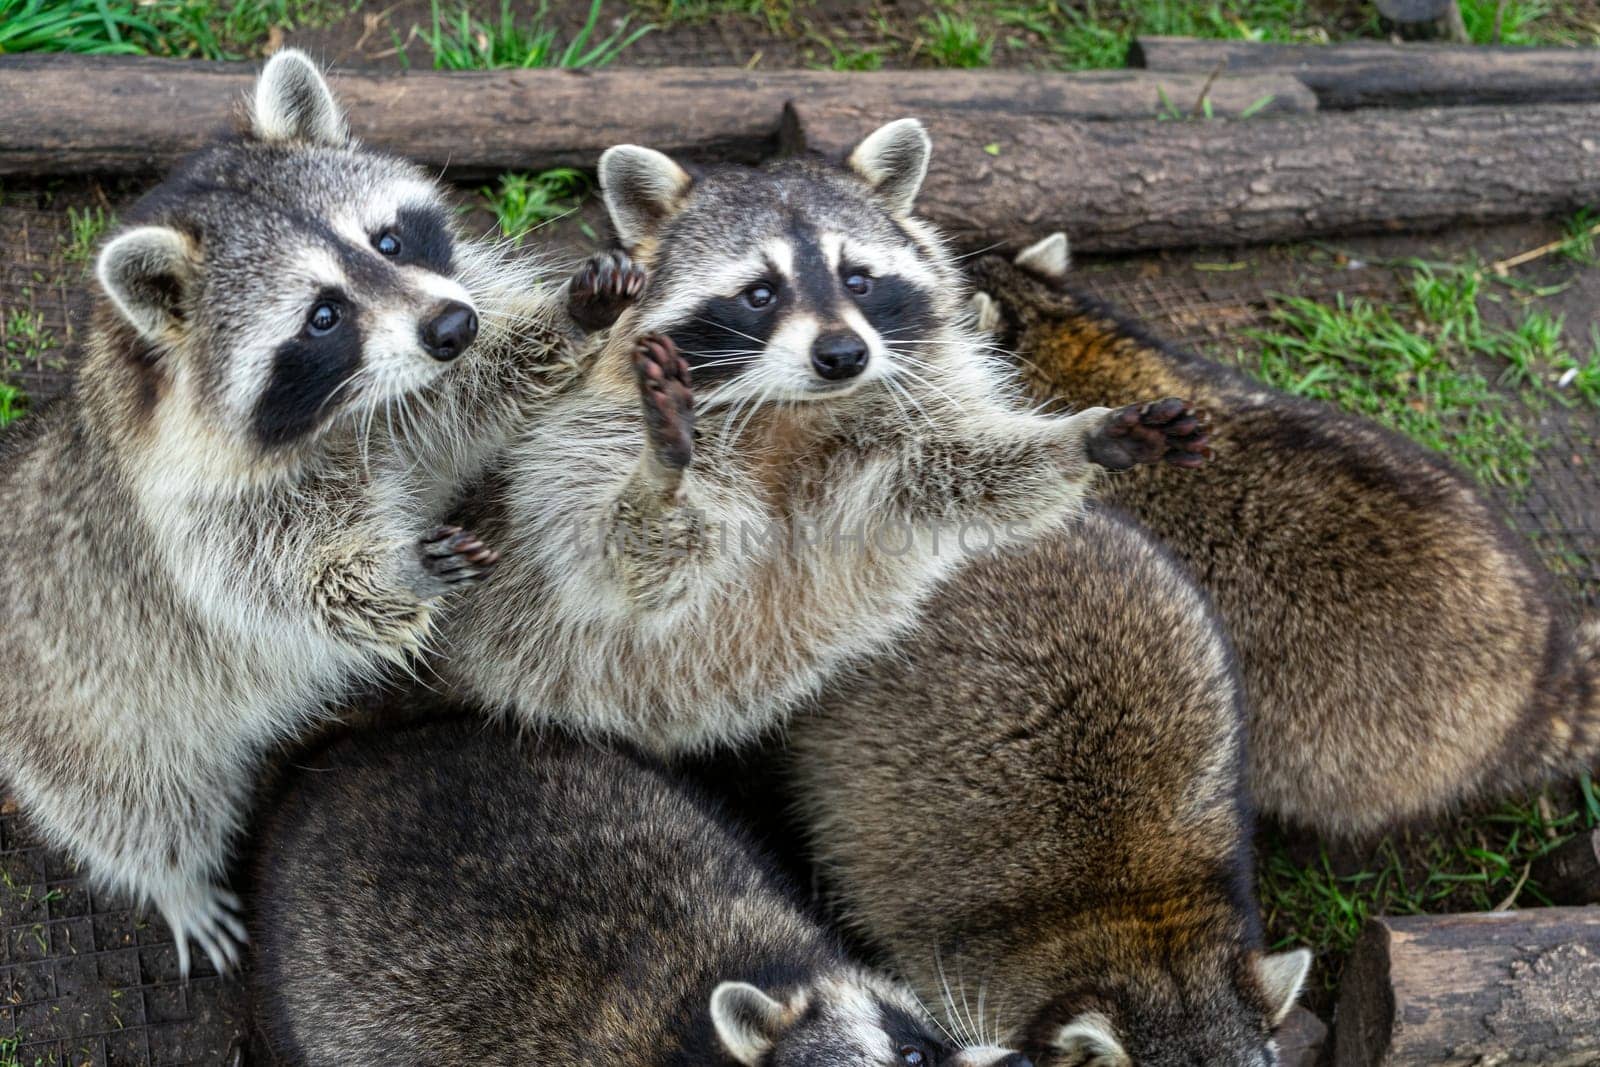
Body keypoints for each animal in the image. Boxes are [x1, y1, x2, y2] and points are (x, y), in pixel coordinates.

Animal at [0, 56, 627, 979]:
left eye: (389, 240)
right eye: (322, 316)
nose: (452, 323)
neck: (338, 415)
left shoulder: (404, 400)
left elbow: (461, 405)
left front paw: (562, 322)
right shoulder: (194, 516)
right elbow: (276, 583)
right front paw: (391, 573)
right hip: (79, 718)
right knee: (134, 804)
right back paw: (175, 879)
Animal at [432, 120, 1203, 755]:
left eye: (858, 279)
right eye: (760, 293)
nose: (843, 355)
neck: (791, 409)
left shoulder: (899, 424)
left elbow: (951, 470)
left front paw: (1082, 438)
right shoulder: (582, 437)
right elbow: (615, 558)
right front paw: (662, 473)